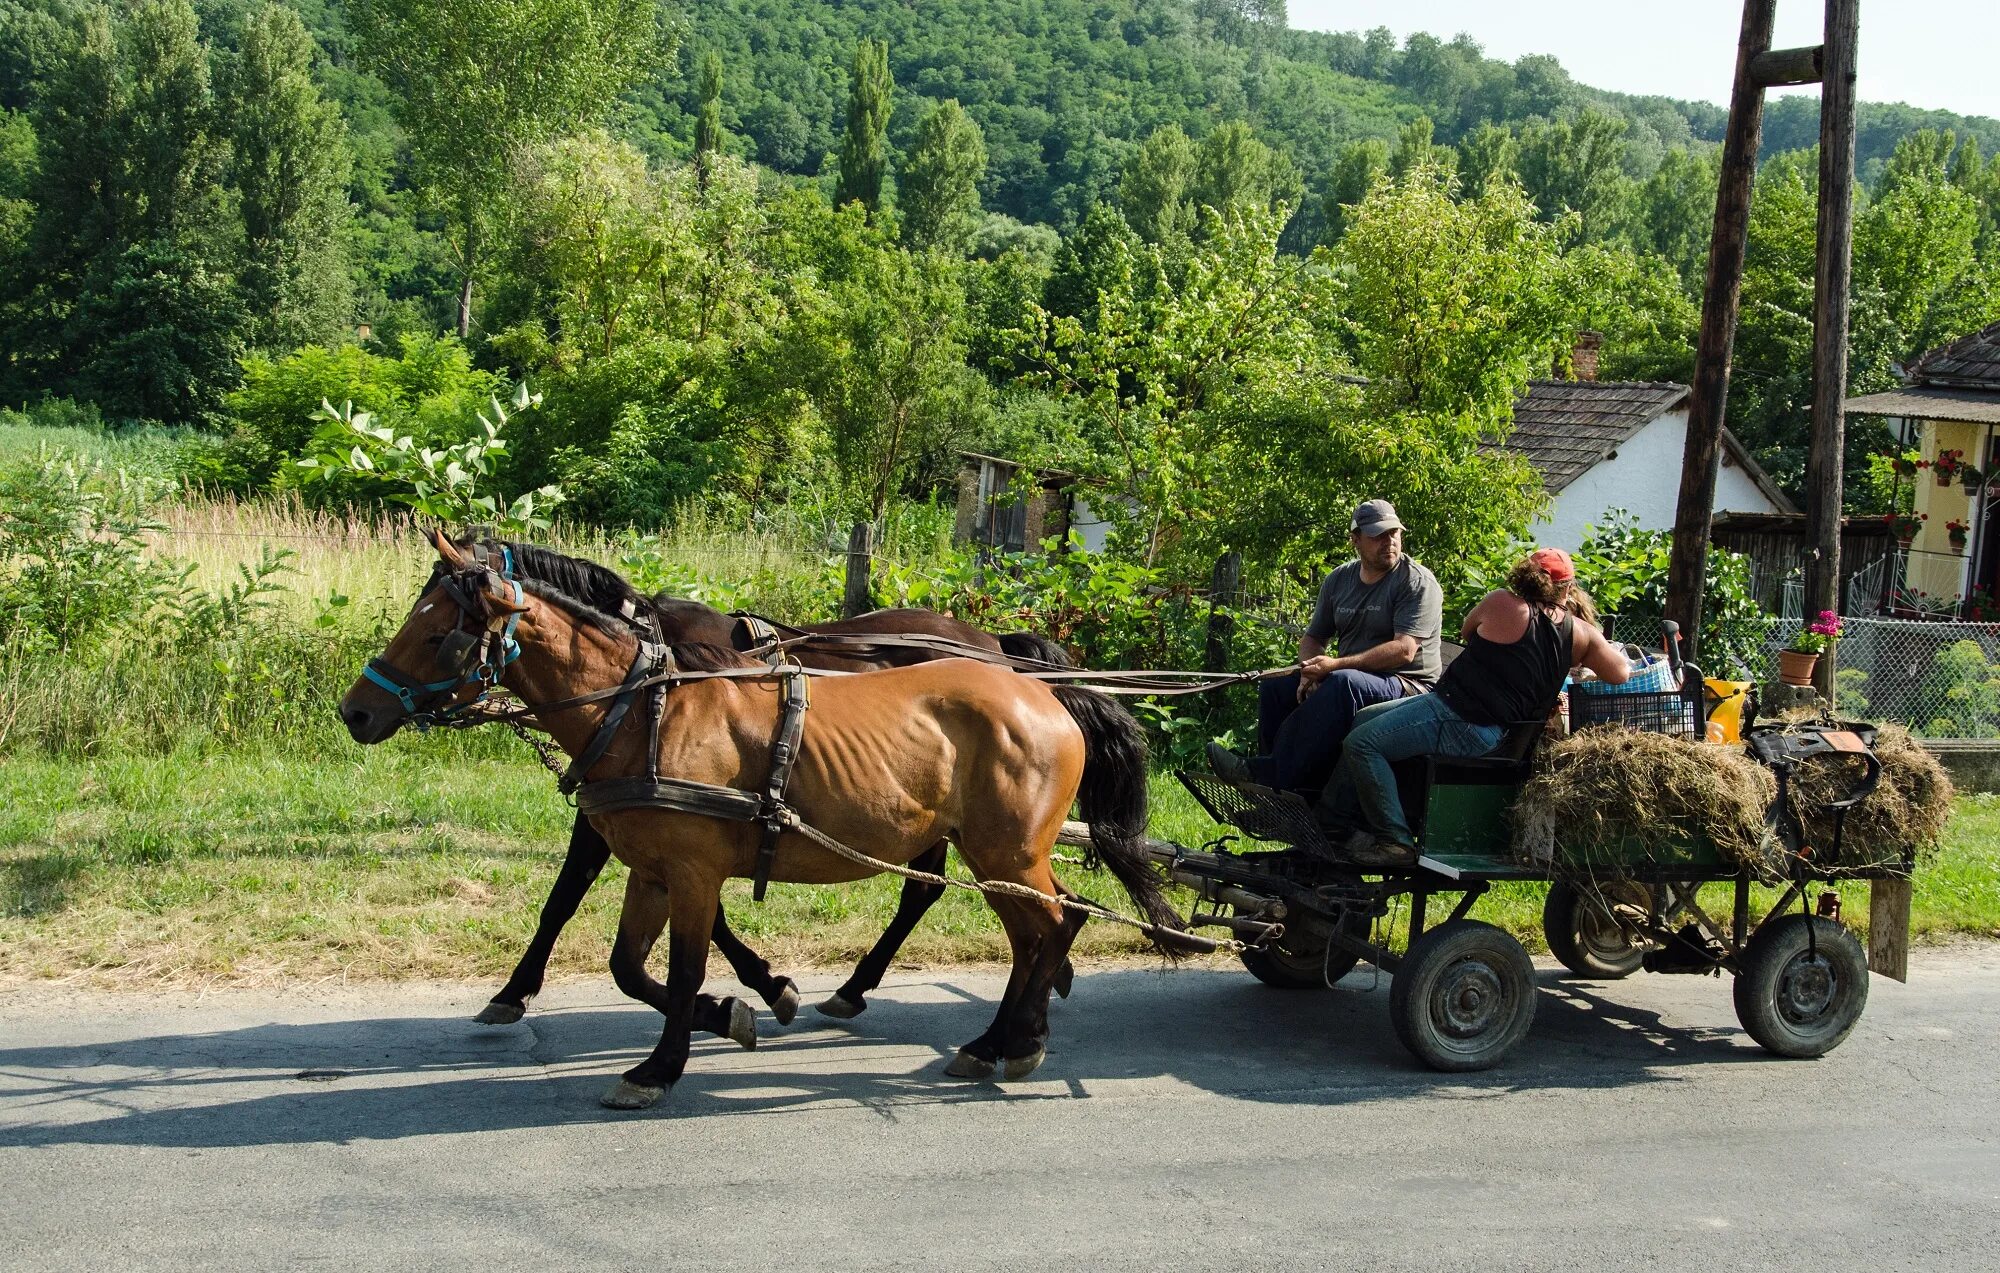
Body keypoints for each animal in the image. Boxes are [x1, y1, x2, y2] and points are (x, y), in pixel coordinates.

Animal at [448, 536, 1088, 1024]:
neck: (643, 664)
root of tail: (995, 645)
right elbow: (579, 898)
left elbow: (571, 897)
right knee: (931, 889)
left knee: (929, 889)